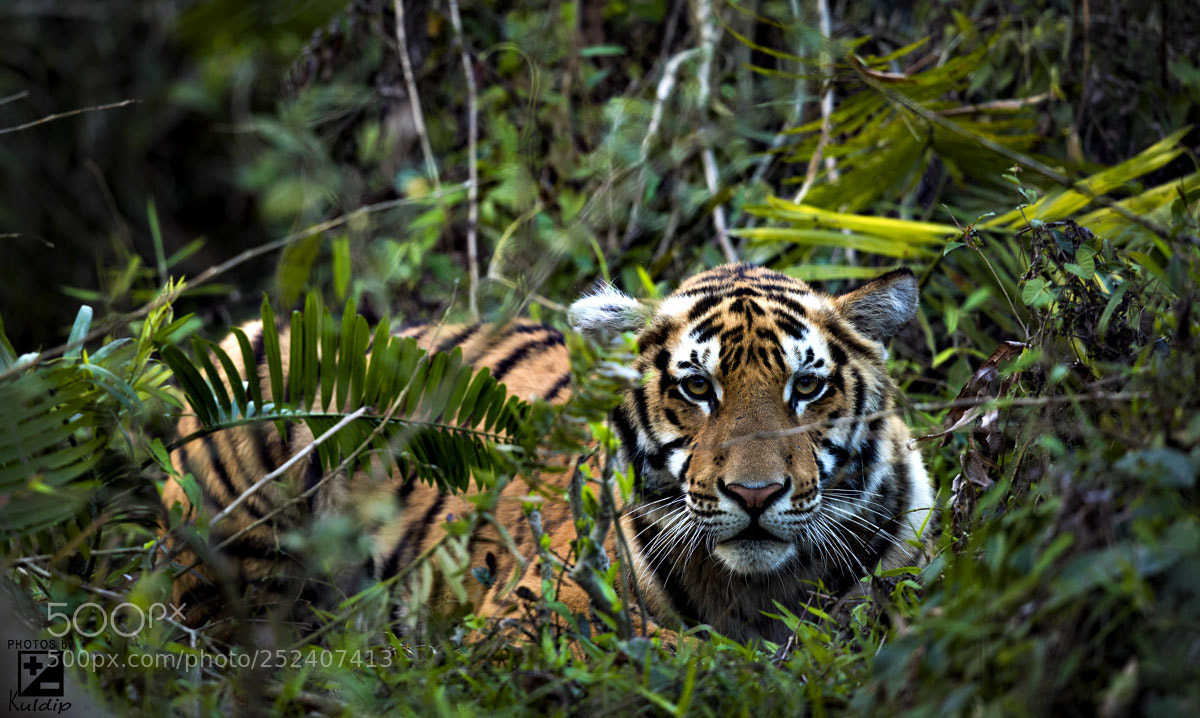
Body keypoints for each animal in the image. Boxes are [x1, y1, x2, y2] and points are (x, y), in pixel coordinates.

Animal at [161, 263, 936, 644]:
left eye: (806, 386)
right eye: (697, 386)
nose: (754, 495)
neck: (758, 586)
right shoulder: (532, 613)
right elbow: (677, 651)